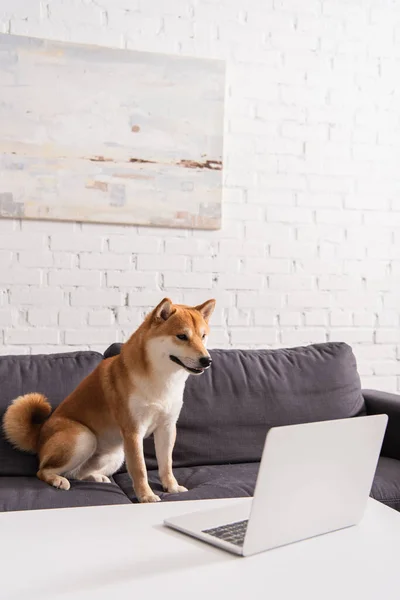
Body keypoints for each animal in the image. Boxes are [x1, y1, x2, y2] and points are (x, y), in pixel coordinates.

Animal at [2, 298, 216, 502]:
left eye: (203, 336)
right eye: (182, 336)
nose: (207, 360)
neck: (162, 380)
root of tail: (39, 436)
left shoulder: (167, 428)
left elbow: (166, 464)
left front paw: (171, 487)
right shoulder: (133, 431)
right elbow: (140, 469)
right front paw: (146, 496)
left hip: (115, 454)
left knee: (77, 473)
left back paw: (96, 477)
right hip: (84, 437)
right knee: (43, 470)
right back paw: (57, 480)